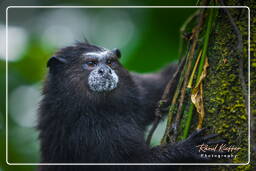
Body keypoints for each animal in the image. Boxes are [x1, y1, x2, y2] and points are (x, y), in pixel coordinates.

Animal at [37, 41, 226, 171]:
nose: (105, 71)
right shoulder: (84, 130)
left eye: (110, 62)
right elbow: (128, 165)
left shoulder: (138, 94)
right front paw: (187, 149)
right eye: (91, 63)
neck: (102, 108)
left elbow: (163, 85)